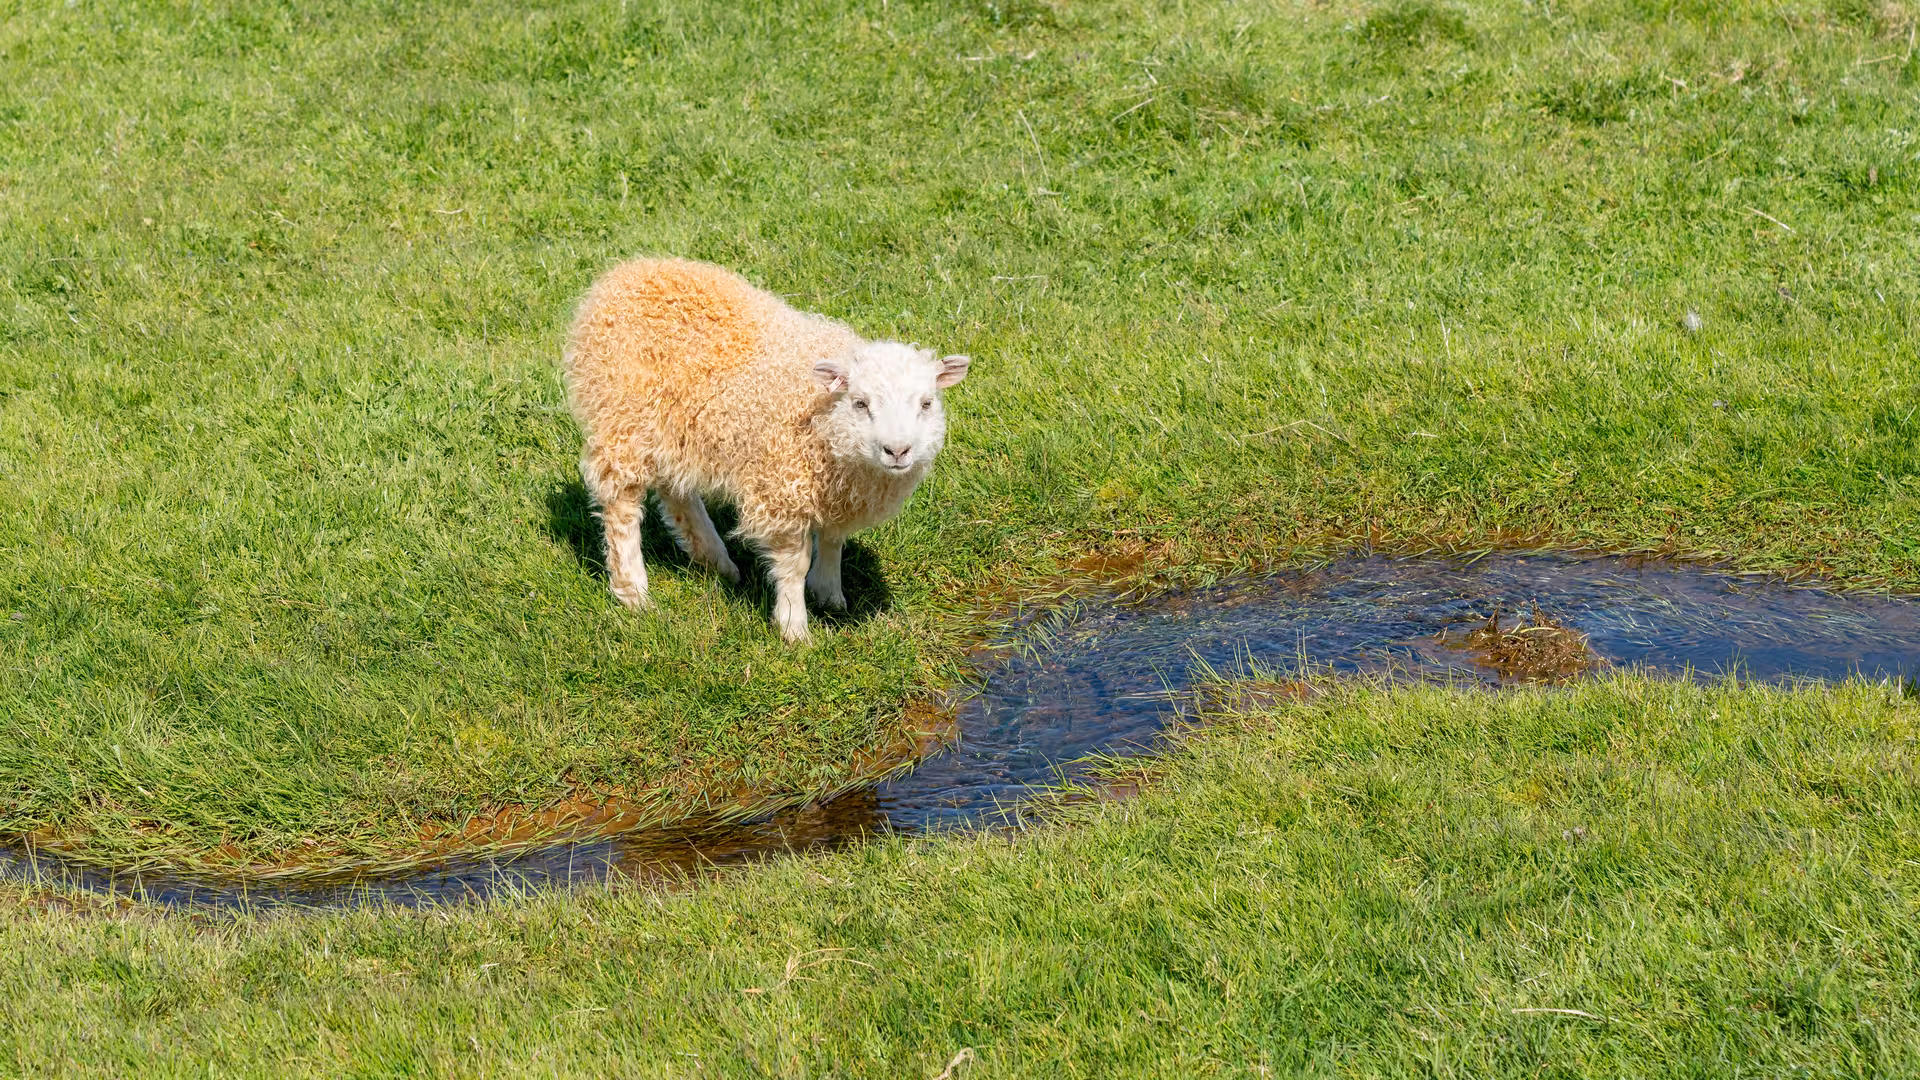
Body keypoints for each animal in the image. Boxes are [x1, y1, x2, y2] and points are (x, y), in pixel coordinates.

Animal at [562, 257, 970, 642]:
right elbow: (794, 564)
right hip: (621, 417)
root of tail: (626, 272)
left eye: (927, 404)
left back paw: (717, 562)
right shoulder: (782, 488)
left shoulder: (835, 492)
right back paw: (633, 591)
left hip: (675, 426)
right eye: (860, 403)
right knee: (621, 504)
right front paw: (794, 627)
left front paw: (829, 594)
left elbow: (833, 539)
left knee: (677, 492)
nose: (897, 451)